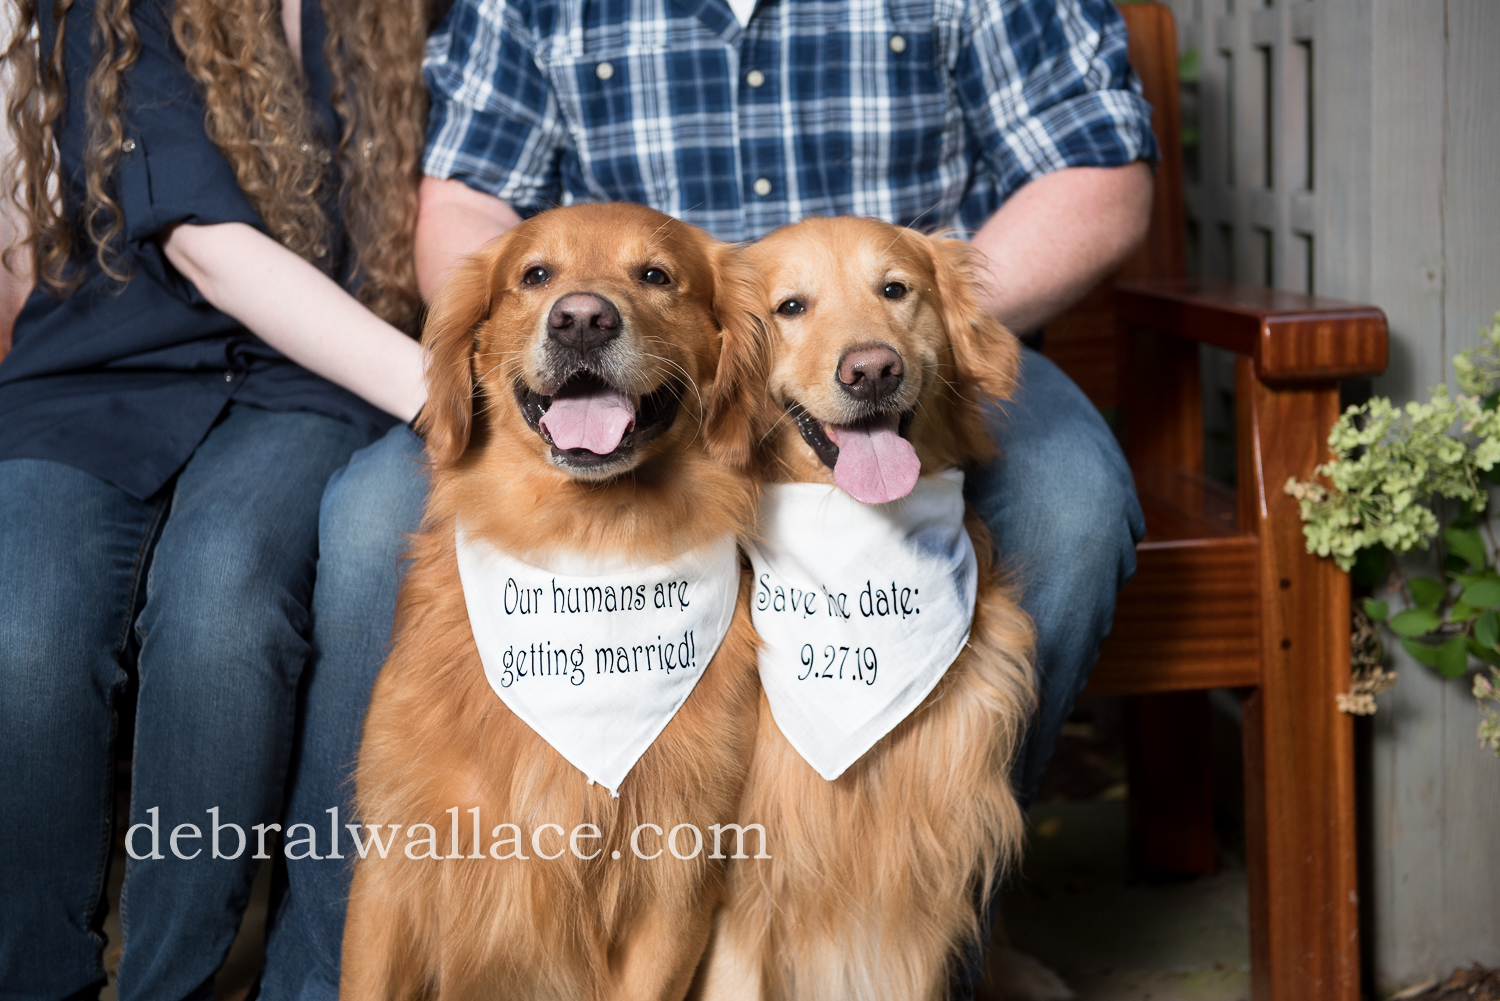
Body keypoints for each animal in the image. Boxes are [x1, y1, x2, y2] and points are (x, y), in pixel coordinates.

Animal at [345, 204, 768, 1001]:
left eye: (656, 275)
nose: (582, 320)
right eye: (536, 274)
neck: (586, 543)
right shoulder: (395, 863)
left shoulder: (677, 885)